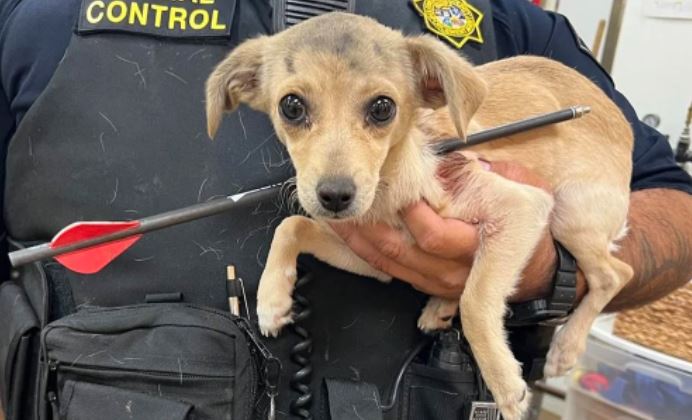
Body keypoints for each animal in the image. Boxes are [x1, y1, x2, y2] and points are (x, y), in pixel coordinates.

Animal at [204, 13, 632, 420]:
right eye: (291, 107)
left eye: (382, 108)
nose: (335, 196)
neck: (390, 188)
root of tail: (618, 118)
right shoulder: (373, 257)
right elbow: (291, 225)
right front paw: (272, 299)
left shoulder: (522, 206)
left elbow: (476, 300)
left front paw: (506, 384)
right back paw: (440, 305)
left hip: (570, 212)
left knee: (615, 274)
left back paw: (566, 347)